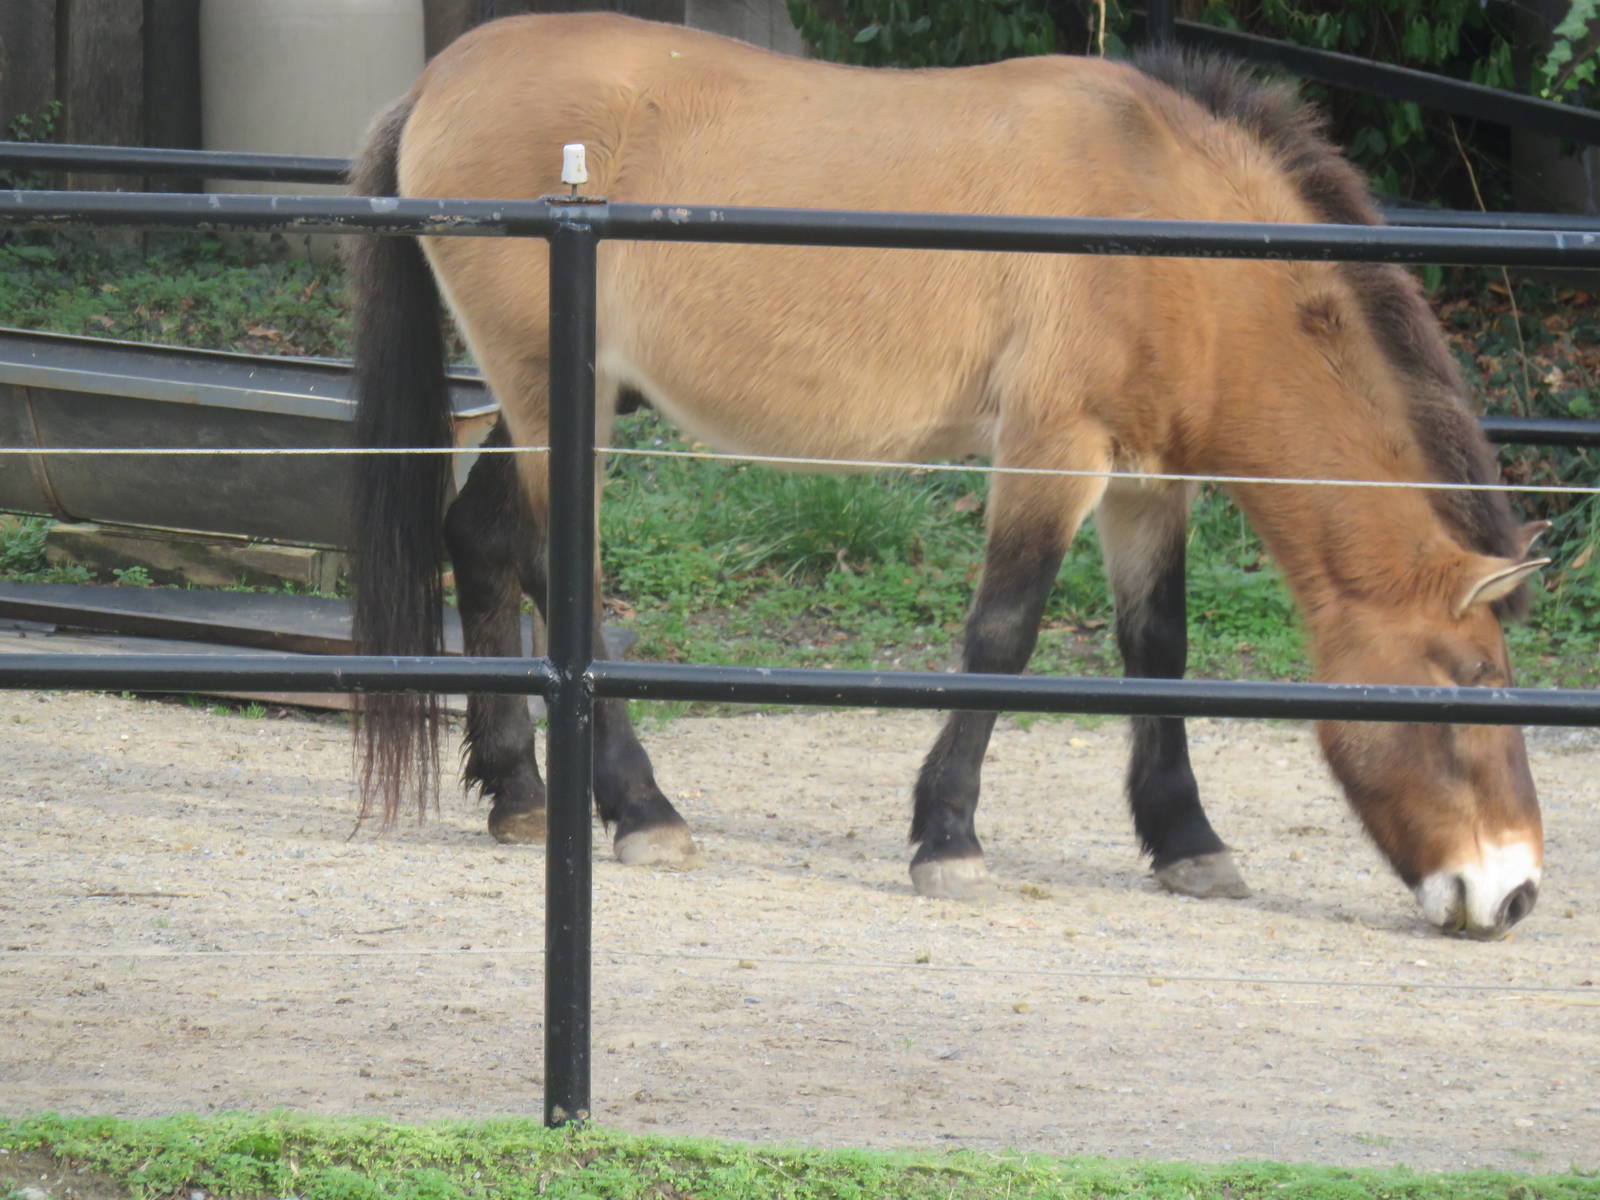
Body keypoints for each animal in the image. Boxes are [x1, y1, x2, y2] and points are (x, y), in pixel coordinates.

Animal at [347, 12, 1549, 938]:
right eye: (1469, 682)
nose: (1515, 890)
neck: (1171, 229)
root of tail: (436, 80)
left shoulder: (1150, 482)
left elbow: (1156, 648)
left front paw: (1187, 842)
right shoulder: (1051, 451)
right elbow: (1002, 637)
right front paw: (947, 839)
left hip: (553, 401)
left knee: (484, 544)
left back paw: (520, 793)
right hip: (558, 399)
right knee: (562, 571)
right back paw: (642, 811)